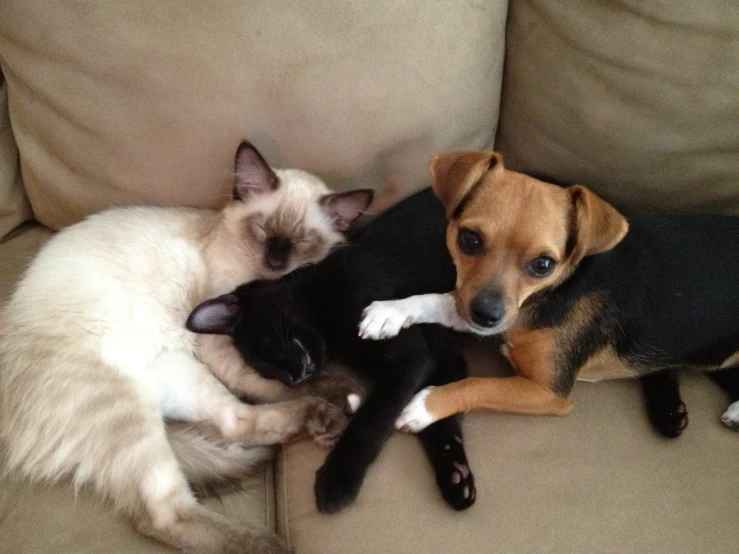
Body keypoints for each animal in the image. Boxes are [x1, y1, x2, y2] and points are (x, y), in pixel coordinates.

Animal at [0, 142, 370, 552]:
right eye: (261, 230)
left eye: (303, 241)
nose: (275, 261)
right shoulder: (219, 342)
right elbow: (273, 383)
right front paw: (344, 388)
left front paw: (342, 390)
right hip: (125, 401)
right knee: (165, 515)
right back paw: (269, 543)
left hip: (178, 373)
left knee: (236, 423)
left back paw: (325, 418)